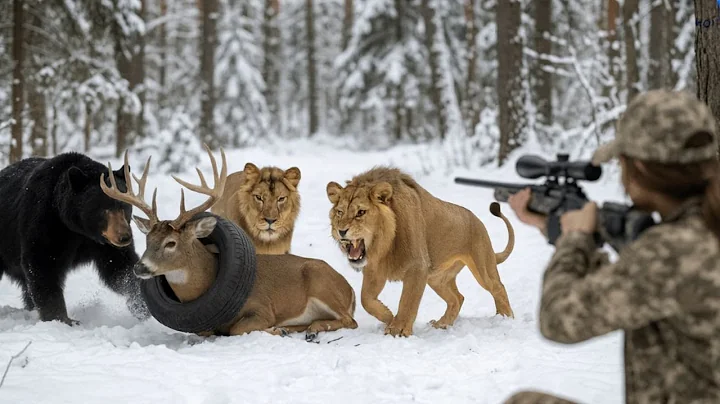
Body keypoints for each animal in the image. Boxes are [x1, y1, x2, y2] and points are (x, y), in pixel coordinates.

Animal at [326, 166, 515, 337]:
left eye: (361, 212)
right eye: (339, 212)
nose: (341, 231)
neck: (382, 246)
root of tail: (477, 220)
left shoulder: (417, 267)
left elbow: (408, 301)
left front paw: (398, 330)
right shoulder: (374, 269)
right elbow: (366, 299)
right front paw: (388, 316)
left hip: (482, 265)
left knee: (498, 287)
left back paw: (505, 318)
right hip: (437, 278)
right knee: (457, 298)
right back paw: (441, 324)